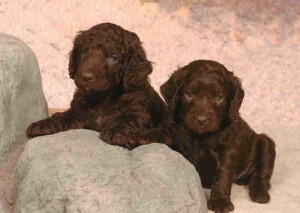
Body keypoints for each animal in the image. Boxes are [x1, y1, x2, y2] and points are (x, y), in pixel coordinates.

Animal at [26, 22, 168, 148]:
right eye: (83, 52)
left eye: (113, 58)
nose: (86, 77)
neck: (102, 97)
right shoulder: (78, 113)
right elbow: (61, 116)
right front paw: (42, 124)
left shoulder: (140, 114)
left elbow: (129, 120)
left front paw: (116, 131)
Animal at [130, 60, 276, 213]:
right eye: (189, 94)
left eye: (219, 98)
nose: (201, 120)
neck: (199, 135)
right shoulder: (174, 131)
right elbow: (162, 132)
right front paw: (141, 136)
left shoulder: (227, 149)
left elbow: (223, 175)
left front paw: (220, 202)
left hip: (265, 143)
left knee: (261, 174)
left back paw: (260, 193)